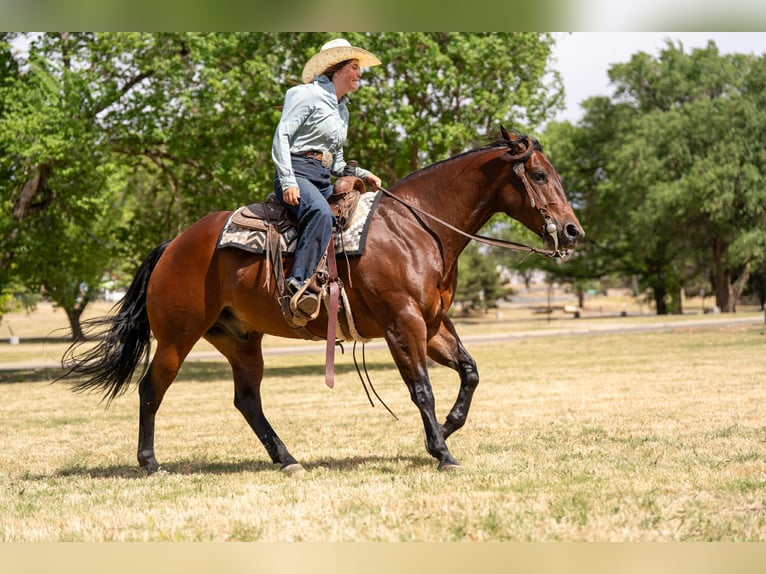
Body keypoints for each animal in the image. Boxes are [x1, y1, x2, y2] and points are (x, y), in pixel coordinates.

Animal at [60, 127, 584, 474]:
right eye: (539, 174)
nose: (573, 230)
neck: (417, 228)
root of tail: (174, 244)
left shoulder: (434, 324)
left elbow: (470, 373)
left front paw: (449, 428)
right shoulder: (403, 324)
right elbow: (422, 389)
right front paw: (442, 451)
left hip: (239, 339)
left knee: (247, 400)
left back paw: (287, 459)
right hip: (177, 336)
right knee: (152, 389)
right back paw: (150, 462)